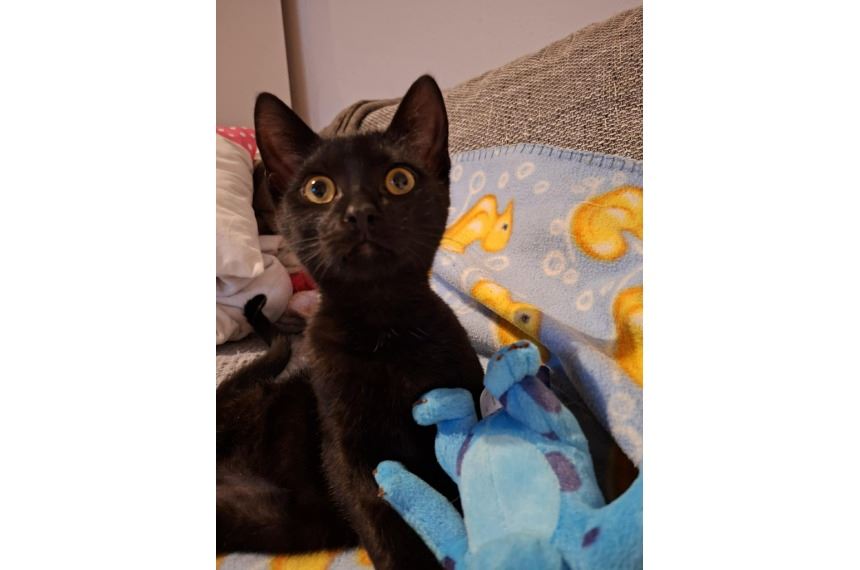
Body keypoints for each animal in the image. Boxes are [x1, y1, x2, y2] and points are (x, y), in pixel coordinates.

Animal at [216, 75, 485, 569]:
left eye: (399, 180)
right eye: (318, 189)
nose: (359, 211)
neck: (383, 331)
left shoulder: (465, 400)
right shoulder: (346, 453)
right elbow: (382, 526)